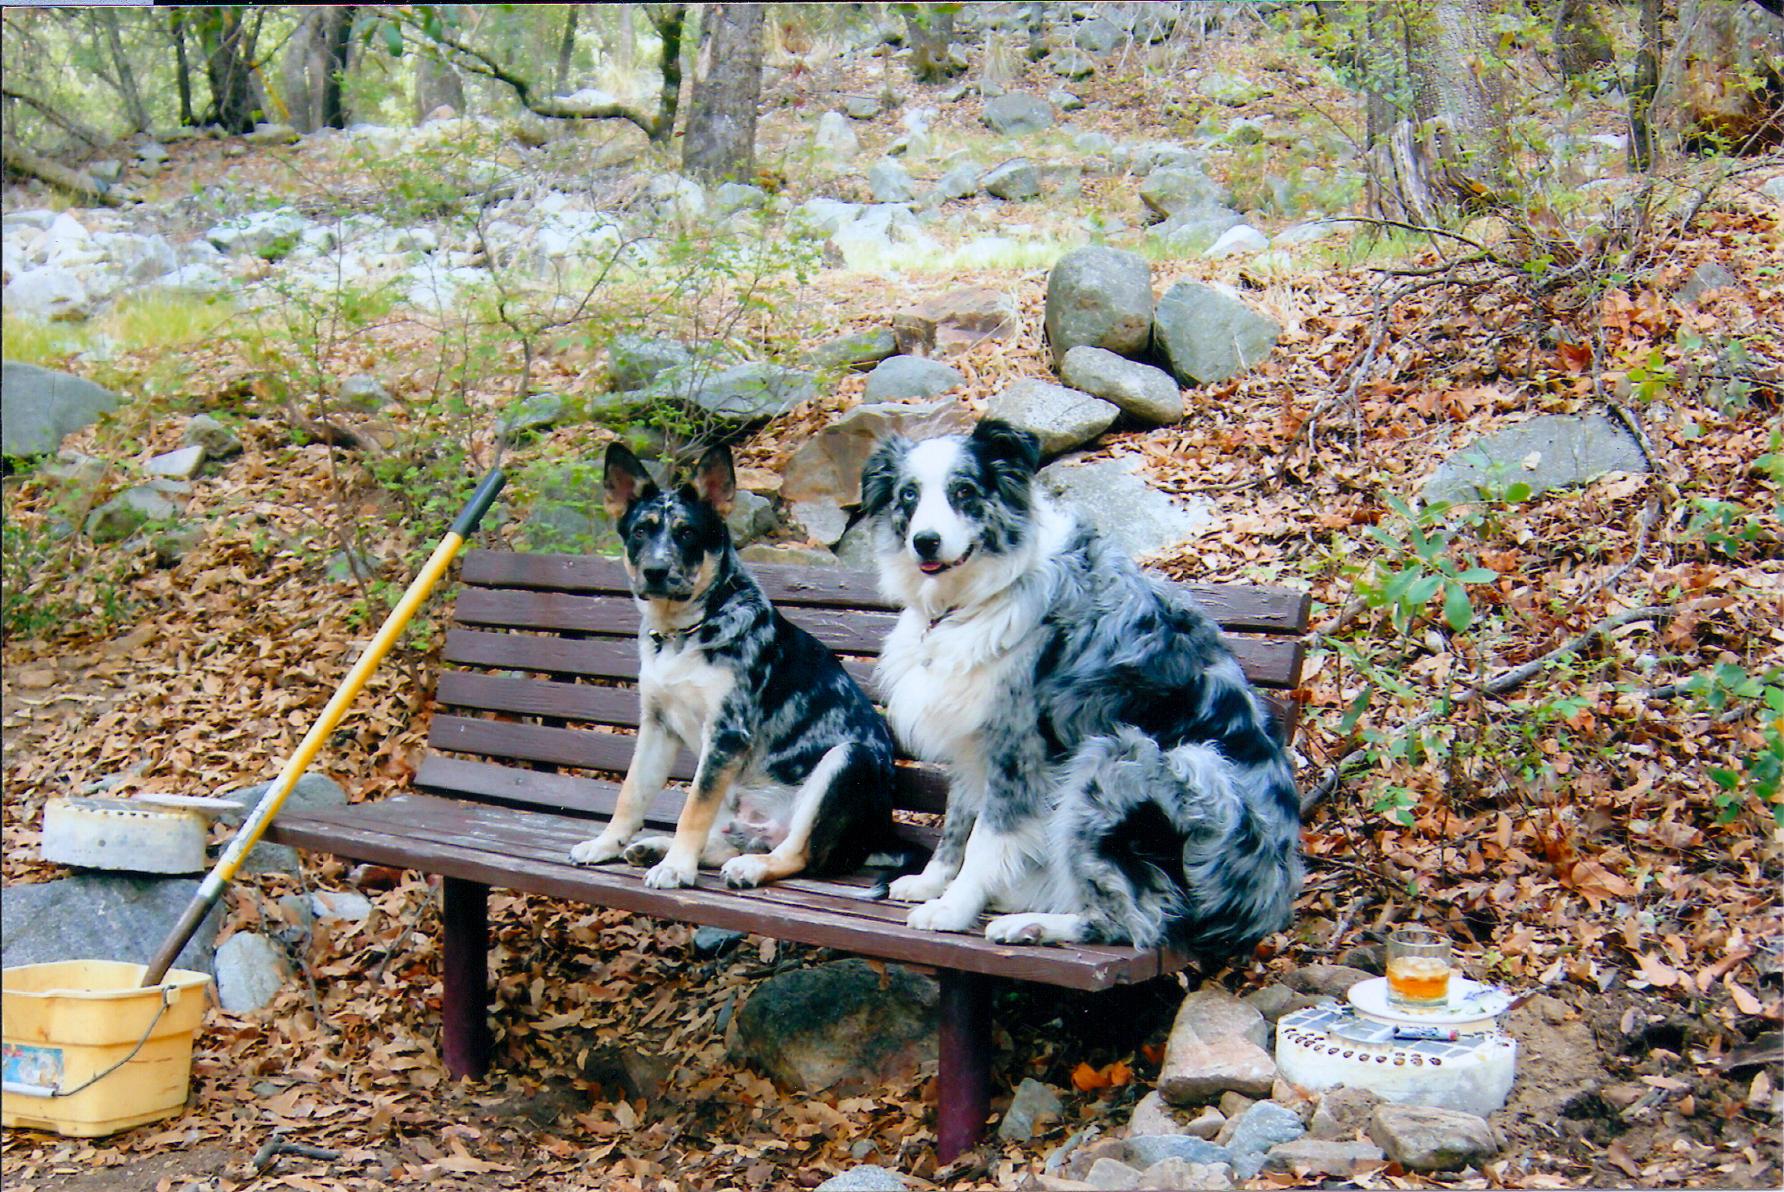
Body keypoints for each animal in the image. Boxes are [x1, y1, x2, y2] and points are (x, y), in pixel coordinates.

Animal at [570, 442, 906, 888]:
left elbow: (692, 811)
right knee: (725, 842)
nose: (655, 571)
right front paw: (608, 844)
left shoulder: (727, 734)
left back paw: (747, 866)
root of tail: (880, 843)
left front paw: (676, 868)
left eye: (687, 532)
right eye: (641, 530)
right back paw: (653, 847)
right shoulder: (657, 727)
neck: (684, 633)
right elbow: (632, 794)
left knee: (796, 853)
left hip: (847, 760)